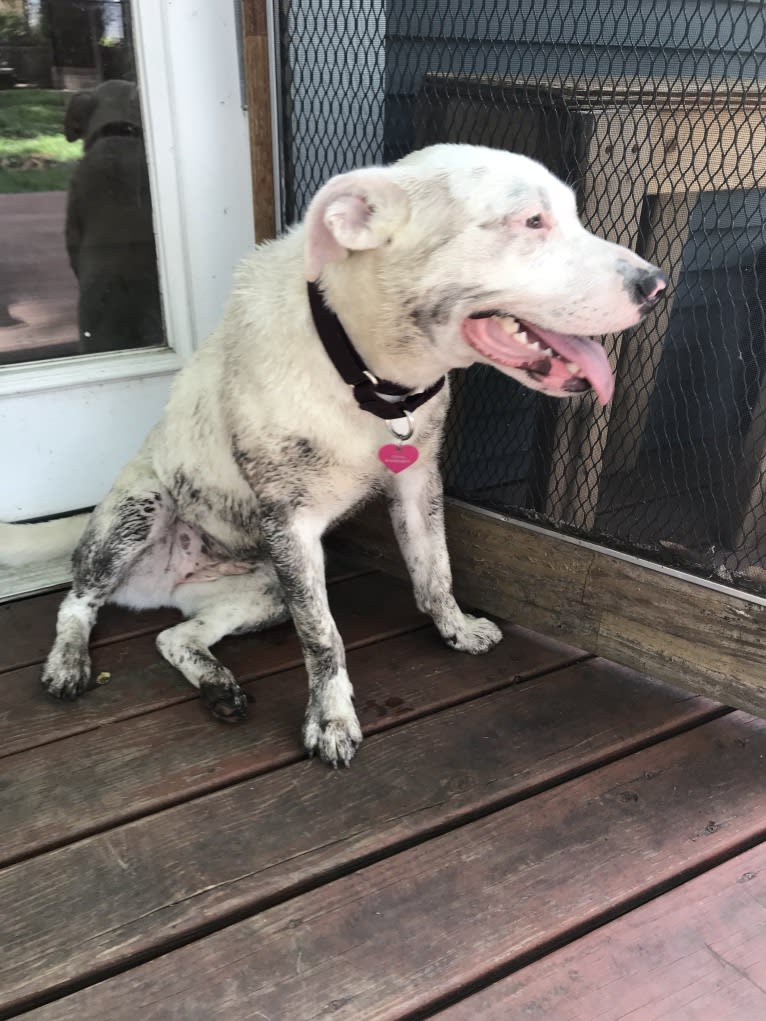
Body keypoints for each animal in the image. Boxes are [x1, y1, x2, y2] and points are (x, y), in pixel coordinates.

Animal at [0, 143, 665, 767]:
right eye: (530, 220)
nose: (656, 285)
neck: (368, 379)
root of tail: (164, 583)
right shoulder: (293, 530)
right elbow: (323, 637)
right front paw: (331, 721)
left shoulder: (417, 484)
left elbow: (435, 571)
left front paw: (455, 630)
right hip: (139, 512)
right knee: (76, 602)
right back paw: (68, 664)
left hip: (263, 594)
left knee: (176, 636)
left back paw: (218, 686)